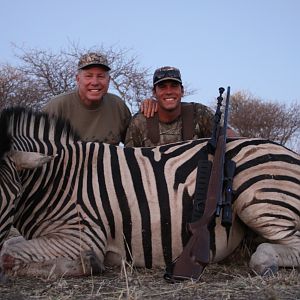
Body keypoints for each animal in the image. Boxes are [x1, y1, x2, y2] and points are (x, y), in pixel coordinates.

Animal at [0, 106, 298, 278]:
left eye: (12, 197)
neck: (57, 177)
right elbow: (10, 245)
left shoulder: (80, 236)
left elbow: (6, 253)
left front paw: (87, 264)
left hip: (259, 199)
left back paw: (265, 261)